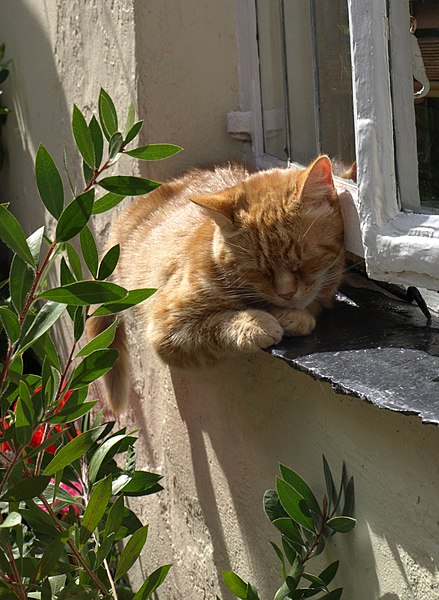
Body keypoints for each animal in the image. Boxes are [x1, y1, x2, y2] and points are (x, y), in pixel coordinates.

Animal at [88, 155, 344, 410]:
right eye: (258, 270)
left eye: (304, 262)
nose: (286, 293)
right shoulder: (167, 328)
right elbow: (216, 324)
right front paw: (255, 323)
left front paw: (293, 315)